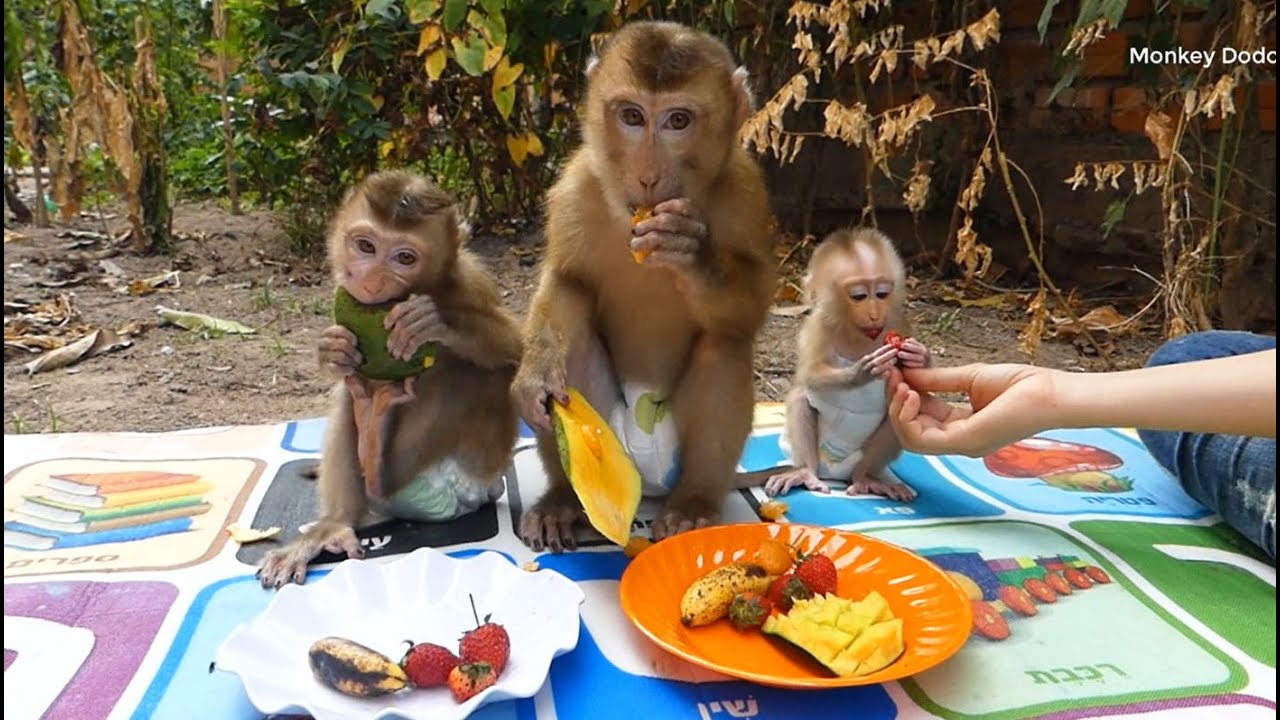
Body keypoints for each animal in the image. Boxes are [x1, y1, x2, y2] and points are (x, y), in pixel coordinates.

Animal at [257, 170, 523, 587]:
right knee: (349, 395)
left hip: (467, 477)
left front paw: (432, 320)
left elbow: (518, 348)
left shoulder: (473, 280)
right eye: (366, 246)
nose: (373, 282)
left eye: (405, 258)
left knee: (481, 373)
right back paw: (340, 508)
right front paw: (331, 349)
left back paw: (379, 450)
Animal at [510, 21, 777, 552]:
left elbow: (751, 307)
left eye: (678, 120)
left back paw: (694, 504)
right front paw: (536, 373)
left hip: (674, 461)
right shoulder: (577, 187)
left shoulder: (744, 193)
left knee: (725, 346)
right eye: (632, 116)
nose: (649, 176)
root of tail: (647, 486)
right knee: (575, 349)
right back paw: (562, 502)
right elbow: (569, 282)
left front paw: (690, 255)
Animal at [763, 227, 930, 503]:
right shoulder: (818, 326)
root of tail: (835, 472)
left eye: (882, 294)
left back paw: (865, 479)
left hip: (860, 460)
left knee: (902, 406)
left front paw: (920, 356)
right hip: (805, 453)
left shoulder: (898, 322)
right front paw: (859, 372)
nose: (874, 314)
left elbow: (915, 382)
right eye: (859, 296)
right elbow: (809, 374)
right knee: (801, 397)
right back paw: (806, 472)